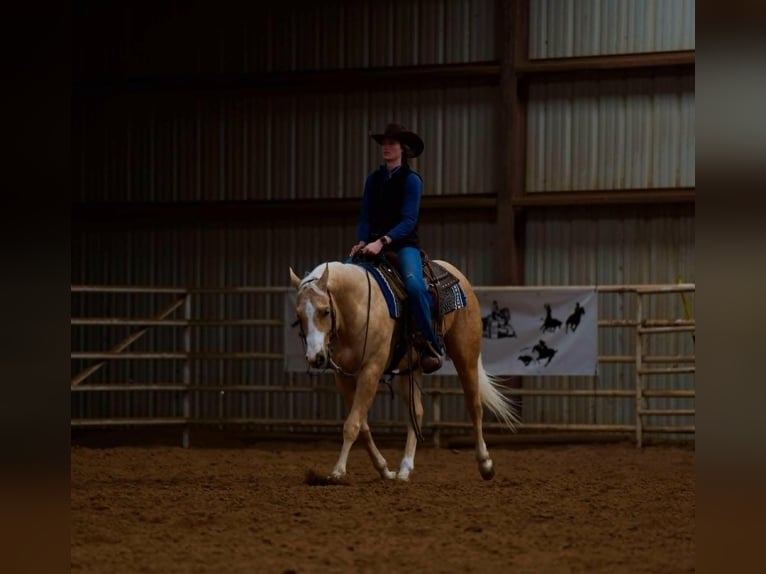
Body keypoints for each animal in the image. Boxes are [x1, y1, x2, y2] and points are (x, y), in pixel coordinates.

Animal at [290, 260, 520, 482]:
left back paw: (485, 464)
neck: (358, 307)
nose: (315, 357)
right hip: (411, 370)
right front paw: (384, 470)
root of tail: (457, 274)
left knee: (475, 406)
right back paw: (404, 469)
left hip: (466, 356)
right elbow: (362, 424)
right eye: (298, 315)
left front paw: (337, 471)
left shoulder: (371, 370)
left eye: (325, 311)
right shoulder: (343, 377)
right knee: (416, 412)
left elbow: (352, 424)